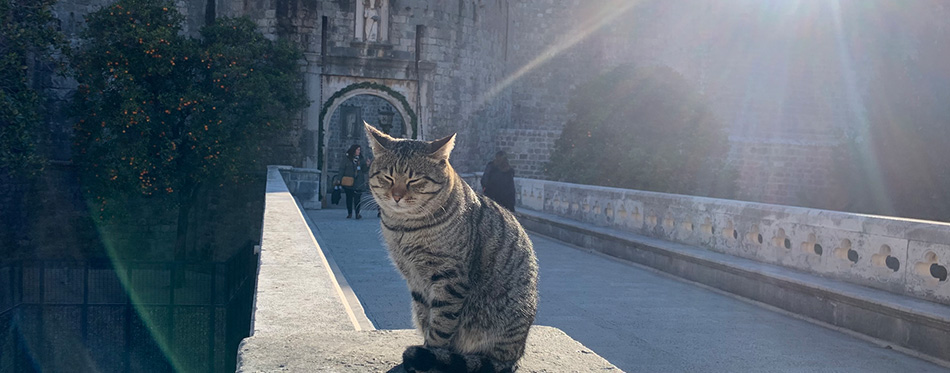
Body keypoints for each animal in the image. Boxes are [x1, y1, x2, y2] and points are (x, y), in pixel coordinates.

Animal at [364, 123, 540, 372]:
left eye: (414, 180)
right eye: (388, 177)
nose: (397, 196)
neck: (404, 229)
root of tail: (518, 353)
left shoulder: (449, 278)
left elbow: (440, 326)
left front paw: (430, 355)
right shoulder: (414, 279)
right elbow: (427, 317)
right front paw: (427, 352)